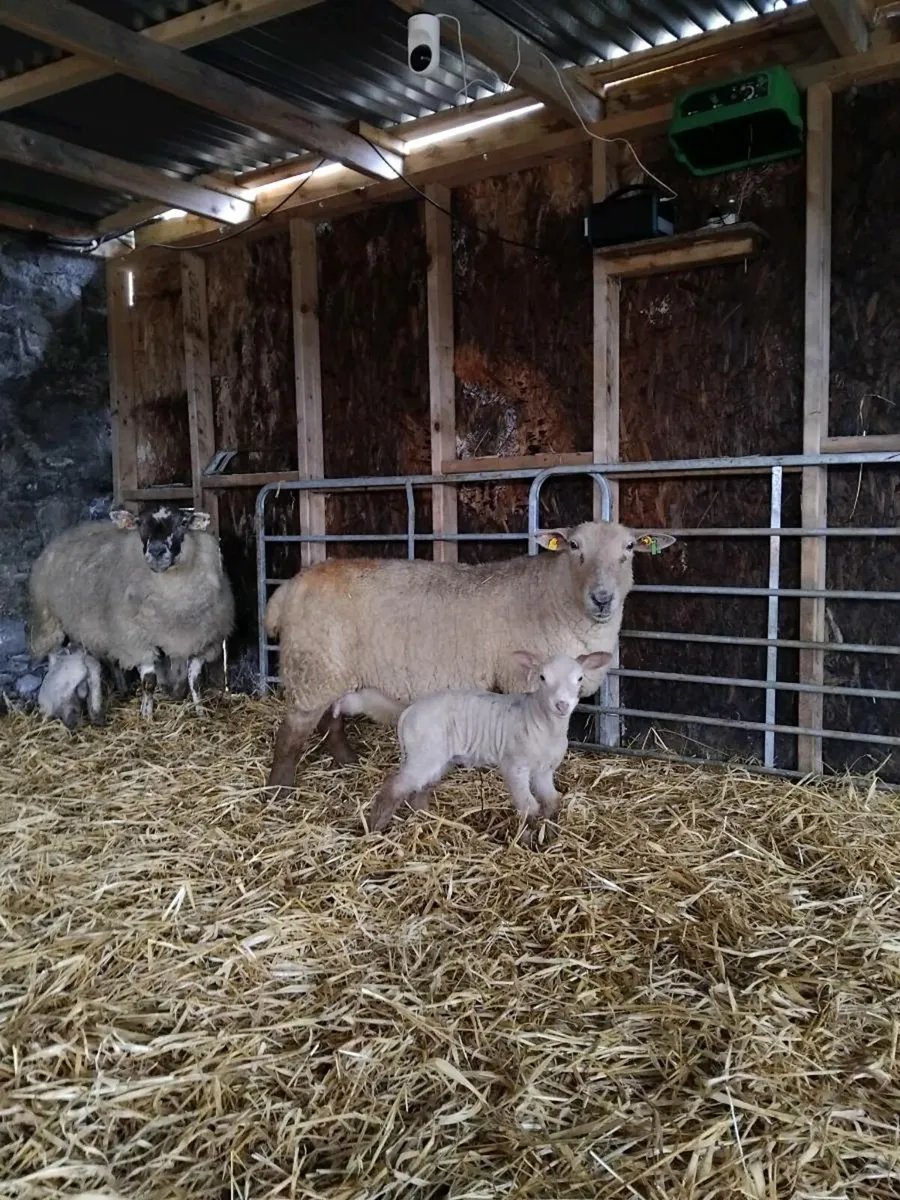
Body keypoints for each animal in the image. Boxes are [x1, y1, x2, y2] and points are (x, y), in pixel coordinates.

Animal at [29, 505, 235, 720]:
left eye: (183, 523)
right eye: (139, 524)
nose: (156, 551)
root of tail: (74, 530)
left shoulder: (201, 642)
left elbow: (195, 681)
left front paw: (201, 712)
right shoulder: (136, 641)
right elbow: (149, 682)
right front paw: (147, 715)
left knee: (110, 658)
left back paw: (121, 688)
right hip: (50, 622)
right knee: (54, 655)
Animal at [264, 519, 675, 794]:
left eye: (629, 549)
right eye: (574, 546)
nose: (602, 598)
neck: (556, 595)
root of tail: (288, 588)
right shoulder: (523, 679)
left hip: (329, 669)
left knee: (330, 718)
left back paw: (346, 760)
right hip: (312, 665)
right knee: (290, 734)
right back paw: (280, 791)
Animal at [367, 650, 612, 836]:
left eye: (580, 678)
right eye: (542, 677)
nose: (562, 705)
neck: (542, 722)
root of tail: (408, 711)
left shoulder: (544, 771)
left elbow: (552, 801)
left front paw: (550, 834)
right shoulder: (514, 766)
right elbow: (528, 806)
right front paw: (527, 839)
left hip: (437, 759)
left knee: (419, 789)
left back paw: (424, 818)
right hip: (423, 754)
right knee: (394, 788)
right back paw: (375, 827)